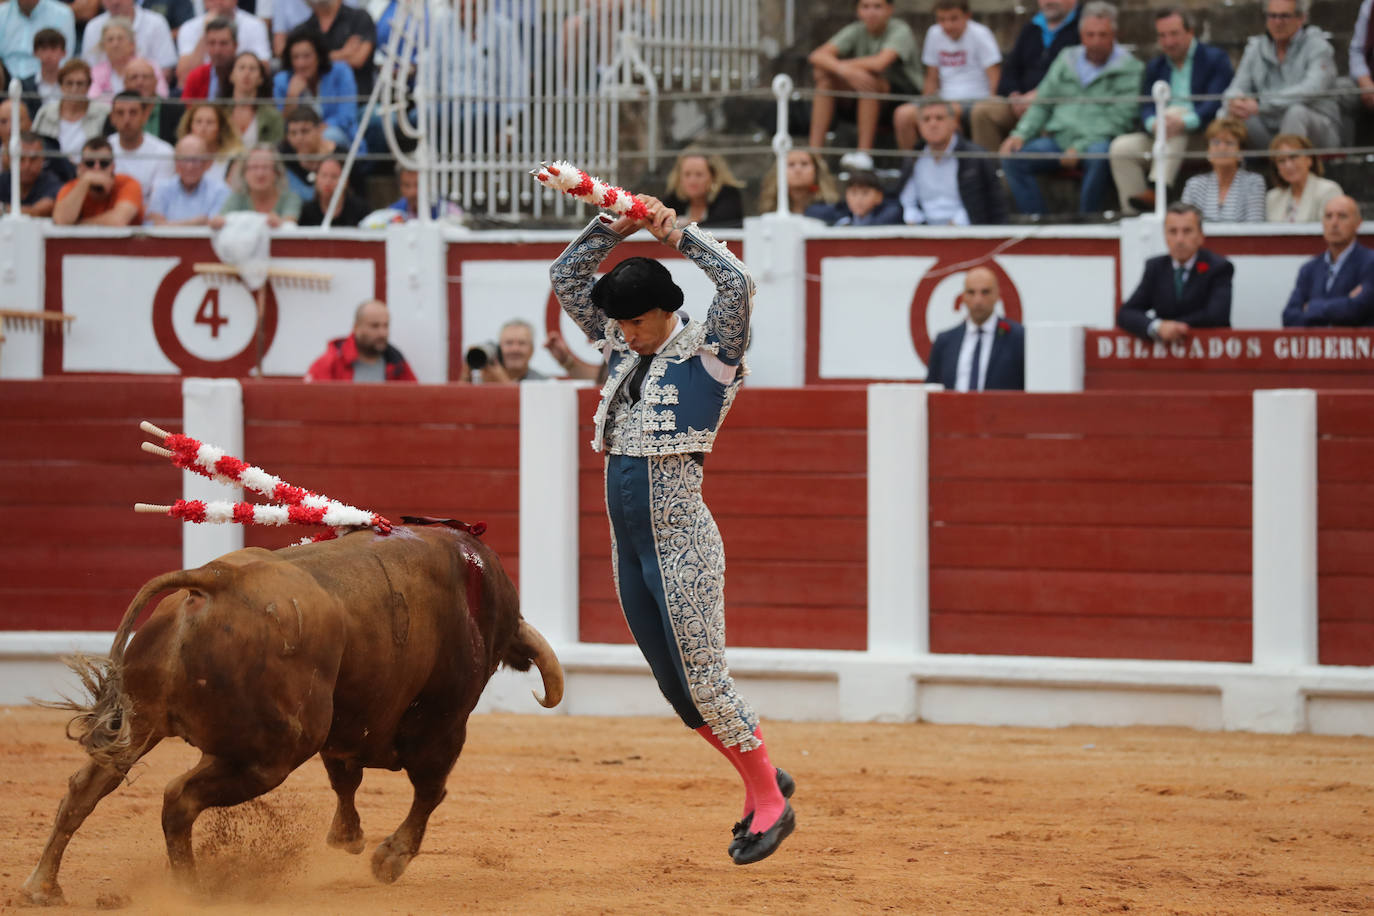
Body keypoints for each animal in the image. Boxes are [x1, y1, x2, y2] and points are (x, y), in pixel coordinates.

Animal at [18, 519, 563, 906]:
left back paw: (43, 887)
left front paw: (348, 838)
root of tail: (215, 580)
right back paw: (191, 892)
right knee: (178, 798)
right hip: (270, 756)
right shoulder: (443, 725)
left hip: (144, 725)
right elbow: (429, 791)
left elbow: (346, 779)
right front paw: (389, 858)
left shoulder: (347, 729)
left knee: (86, 788)